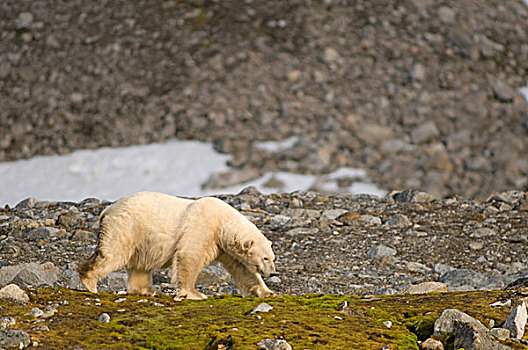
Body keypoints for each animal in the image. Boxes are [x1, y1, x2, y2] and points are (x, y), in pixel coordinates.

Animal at [78, 193, 278, 300]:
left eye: (272, 258)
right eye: (265, 258)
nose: (273, 273)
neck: (223, 223)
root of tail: (107, 210)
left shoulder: (224, 247)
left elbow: (243, 269)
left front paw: (269, 292)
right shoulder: (203, 225)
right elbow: (189, 255)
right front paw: (195, 293)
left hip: (141, 239)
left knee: (140, 264)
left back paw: (149, 290)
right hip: (127, 227)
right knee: (113, 253)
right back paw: (89, 282)